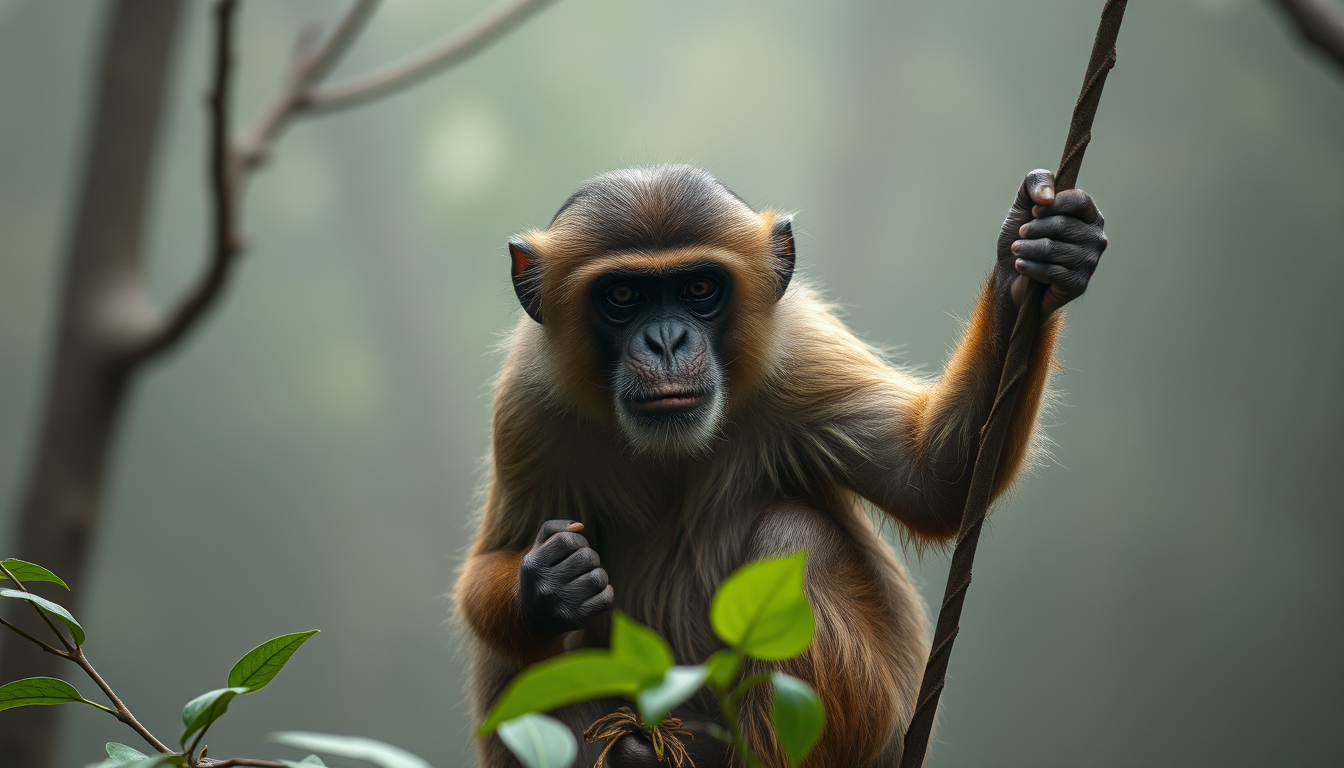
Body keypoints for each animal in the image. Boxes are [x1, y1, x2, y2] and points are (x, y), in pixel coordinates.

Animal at [453, 164, 1106, 767]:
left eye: (698, 287)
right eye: (622, 297)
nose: (666, 342)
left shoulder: (801, 351)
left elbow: (931, 478)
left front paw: (1039, 251)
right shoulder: (527, 404)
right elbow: (495, 561)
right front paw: (550, 583)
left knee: (796, 535)